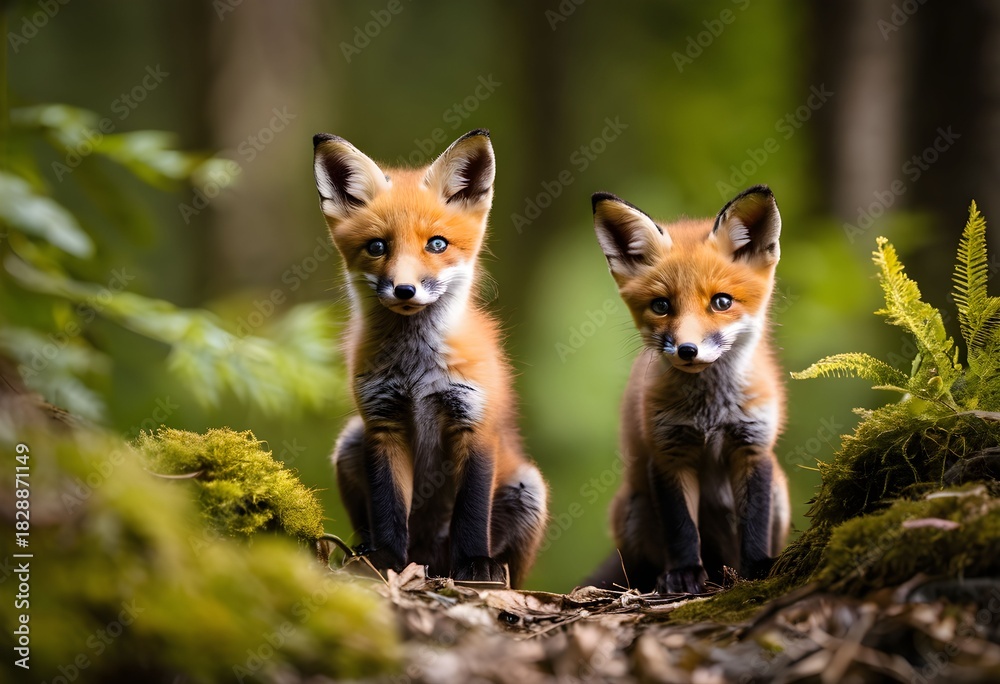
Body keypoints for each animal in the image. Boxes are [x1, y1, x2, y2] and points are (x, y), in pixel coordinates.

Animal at [312, 129, 548, 588]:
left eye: (436, 244)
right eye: (377, 246)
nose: (405, 289)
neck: (416, 371)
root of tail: (429, 557)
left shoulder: (474, 421)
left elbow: (471, 511)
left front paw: (474, 563)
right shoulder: (382, 422)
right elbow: (387, 507)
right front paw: (385, 559)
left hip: (528, 487)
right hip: (350, 442)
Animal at [586, 185, 790, 594]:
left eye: (722, 301)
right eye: (661, 305)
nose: (687, 350)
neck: (710, 412)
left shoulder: (752, 447)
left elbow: (755, 522)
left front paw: (758, 566)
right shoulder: (668, 452)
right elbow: (681, 527)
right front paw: (684, 573)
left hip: (780, 490)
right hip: (633, 509)